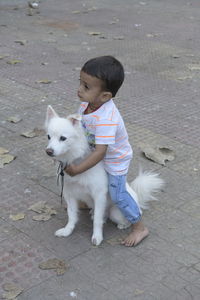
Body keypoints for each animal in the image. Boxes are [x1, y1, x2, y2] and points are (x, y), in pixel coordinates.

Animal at [45, 105, 164, 246]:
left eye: (63, 138)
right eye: (48, 137)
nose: (48, 151)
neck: (75, 159)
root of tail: (137, 200)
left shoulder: (98, 195)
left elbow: (97, 220)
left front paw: (97, 237)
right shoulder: (69, 193)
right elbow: (72, 215)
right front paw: (67, 231)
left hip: (116, 212)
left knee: (128, 218)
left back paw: (129, 227)